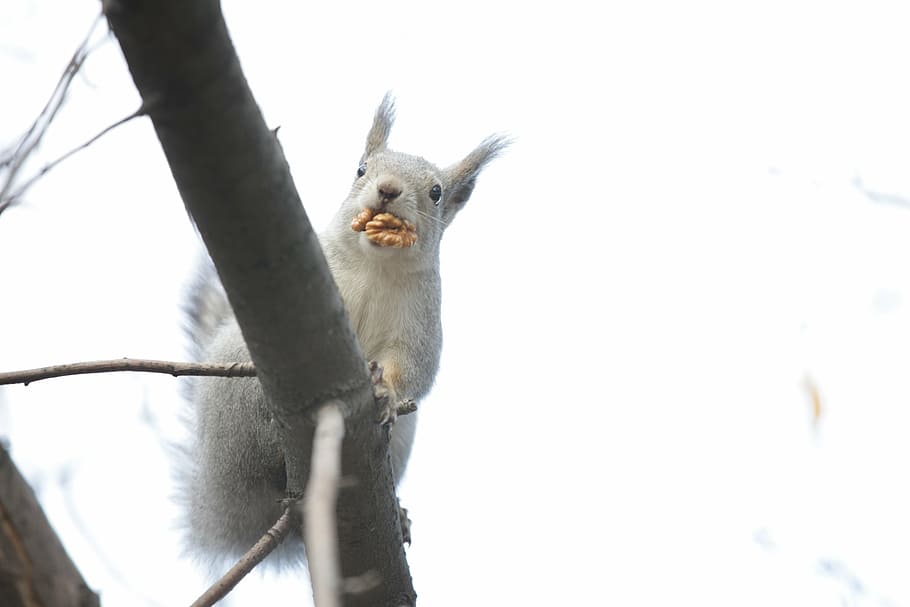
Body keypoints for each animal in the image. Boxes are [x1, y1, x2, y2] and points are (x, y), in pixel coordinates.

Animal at [177, 94, 509, 570]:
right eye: (361, 169)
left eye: (436, 193)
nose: (388, 189)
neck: (375, 263)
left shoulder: (421, 321)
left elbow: (413, 367)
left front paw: (386, 391)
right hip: (233, 405)